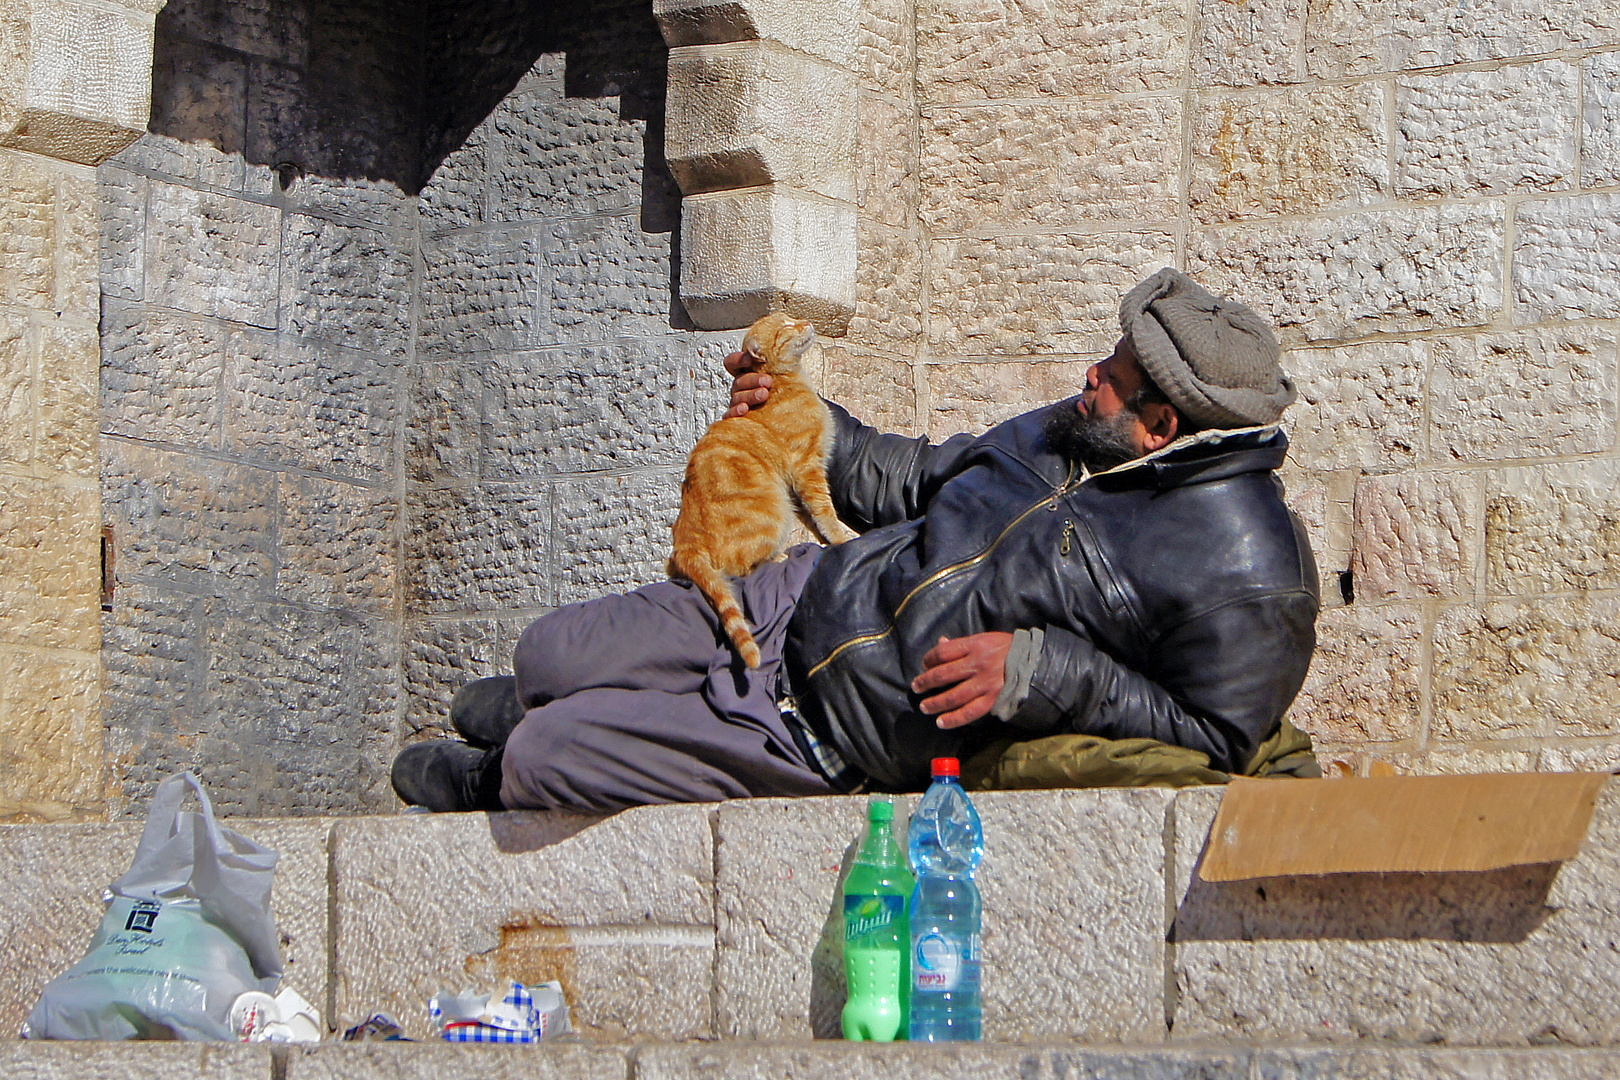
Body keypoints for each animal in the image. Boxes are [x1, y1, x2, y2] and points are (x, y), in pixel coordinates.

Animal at [667, 310, 861, 667]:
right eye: (786, 329)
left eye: (791, 317)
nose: (806, 322)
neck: (788, 383)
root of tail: (685, 539)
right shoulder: (806, 467)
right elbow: (824, 510)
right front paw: (841, 539)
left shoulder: (796, 487)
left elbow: (814, 518)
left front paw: (827, 541)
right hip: (774, 512)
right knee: (738, 568)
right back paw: (777, 557)